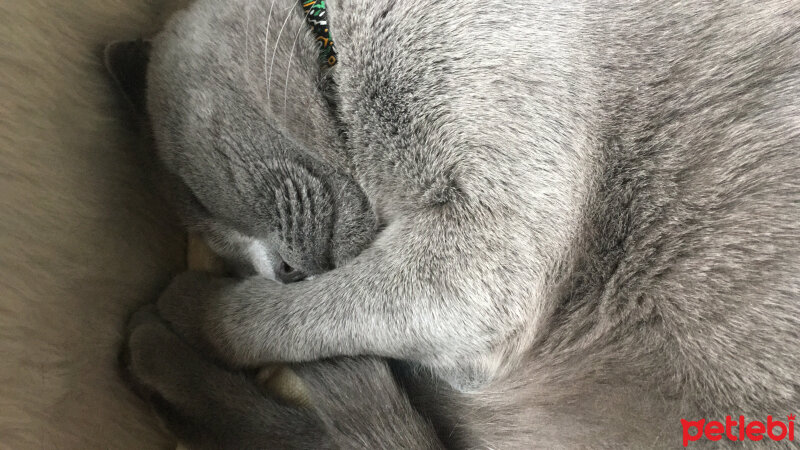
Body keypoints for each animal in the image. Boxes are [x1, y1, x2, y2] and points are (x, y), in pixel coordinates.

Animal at [108, 0, 800, 446]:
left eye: (197, 199)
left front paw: (202, 304)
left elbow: (288, 317)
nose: (281, 271)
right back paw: (150, 348)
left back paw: (162, 324)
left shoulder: (478, 257)